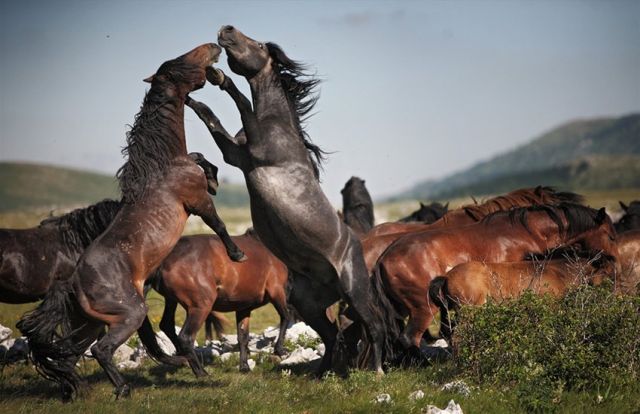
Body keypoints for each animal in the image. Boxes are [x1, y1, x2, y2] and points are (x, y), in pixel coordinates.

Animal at [18, 42, 246, 402]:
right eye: (181, 62)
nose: (213, 47)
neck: (163, 166)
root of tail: (72, 283)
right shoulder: (195, 202)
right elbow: (219, 223)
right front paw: (237, 253)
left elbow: (199, 157)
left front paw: (213, 176)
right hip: (129, 315)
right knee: (101, 350)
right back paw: (123, 389)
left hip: (90, 322)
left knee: (69, 354)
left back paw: (74, 390)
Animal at [146, 230, 288, 376]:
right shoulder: (277, 291)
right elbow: (285, 317)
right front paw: (280, 350)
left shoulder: (243, 307)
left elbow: (243, 336)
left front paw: (244, 367)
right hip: (200, 307)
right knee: (185, 337)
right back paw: (201, 372)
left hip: (171, 300)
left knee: (167, 325)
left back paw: (183, 359)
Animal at [182, 25, 398, 376]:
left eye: (257, 44)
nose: (226, 30)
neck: (277, 123)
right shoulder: (236, 156)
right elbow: (209, 117)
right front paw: (188, 96)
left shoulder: (256, 150)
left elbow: (241, 101)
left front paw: (219, 77)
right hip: (308, 303)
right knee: (332, 335)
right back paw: (320, 374)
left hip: (355, 292)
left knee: (374, 327)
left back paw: (376, 371)